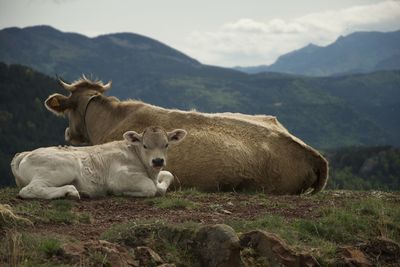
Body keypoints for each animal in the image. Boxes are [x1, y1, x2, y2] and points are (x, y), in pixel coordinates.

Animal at [11, 126, 187, 200]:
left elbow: (168, 175)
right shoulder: (118, 177)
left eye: (166, 144)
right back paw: (70, 191)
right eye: (145, 145)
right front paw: (122, 193)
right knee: (30, 189)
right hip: (62, 168)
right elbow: (151, 188)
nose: (158, 160)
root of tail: (25, 153)